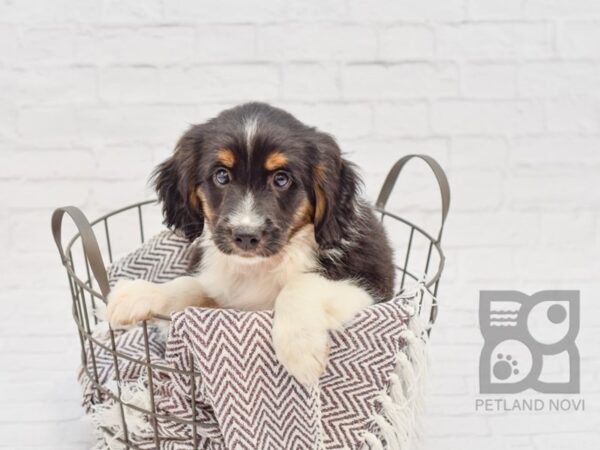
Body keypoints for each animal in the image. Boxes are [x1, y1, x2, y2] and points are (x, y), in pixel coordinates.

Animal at [108, 103, 396, 384]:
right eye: (221, 176)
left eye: (281, 179)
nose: (246, 235)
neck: (260, 267)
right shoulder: (224, 295)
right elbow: (188, 286)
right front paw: (138, 294)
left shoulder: (372, 290)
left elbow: (299, 284)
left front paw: (299, 346)